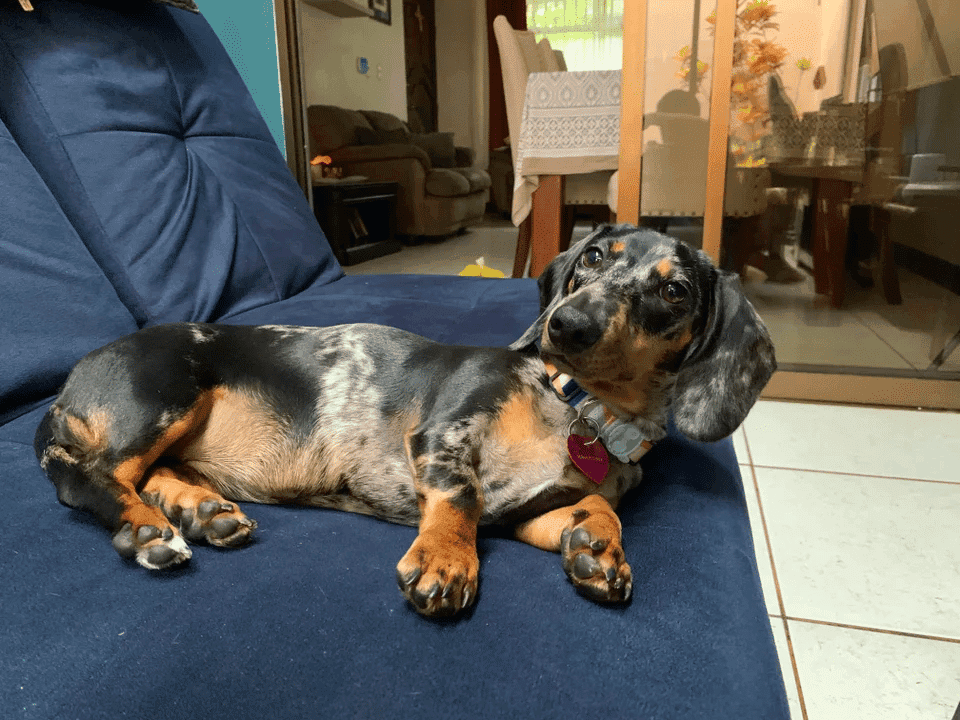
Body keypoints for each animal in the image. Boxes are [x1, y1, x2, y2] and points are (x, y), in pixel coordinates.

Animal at [33, 226, 776, 620]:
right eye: (594, 257)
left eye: (673, 290)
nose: (567, 326)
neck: (577, 406)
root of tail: (67, 384)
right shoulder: (443, 440)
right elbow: (461, 499)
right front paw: (446, 560)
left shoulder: (528, 511)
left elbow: (598, 506)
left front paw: (597, 547)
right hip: (162, 396)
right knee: (90, 480)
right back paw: (146, 529)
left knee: (148, 475)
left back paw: (199, 511)